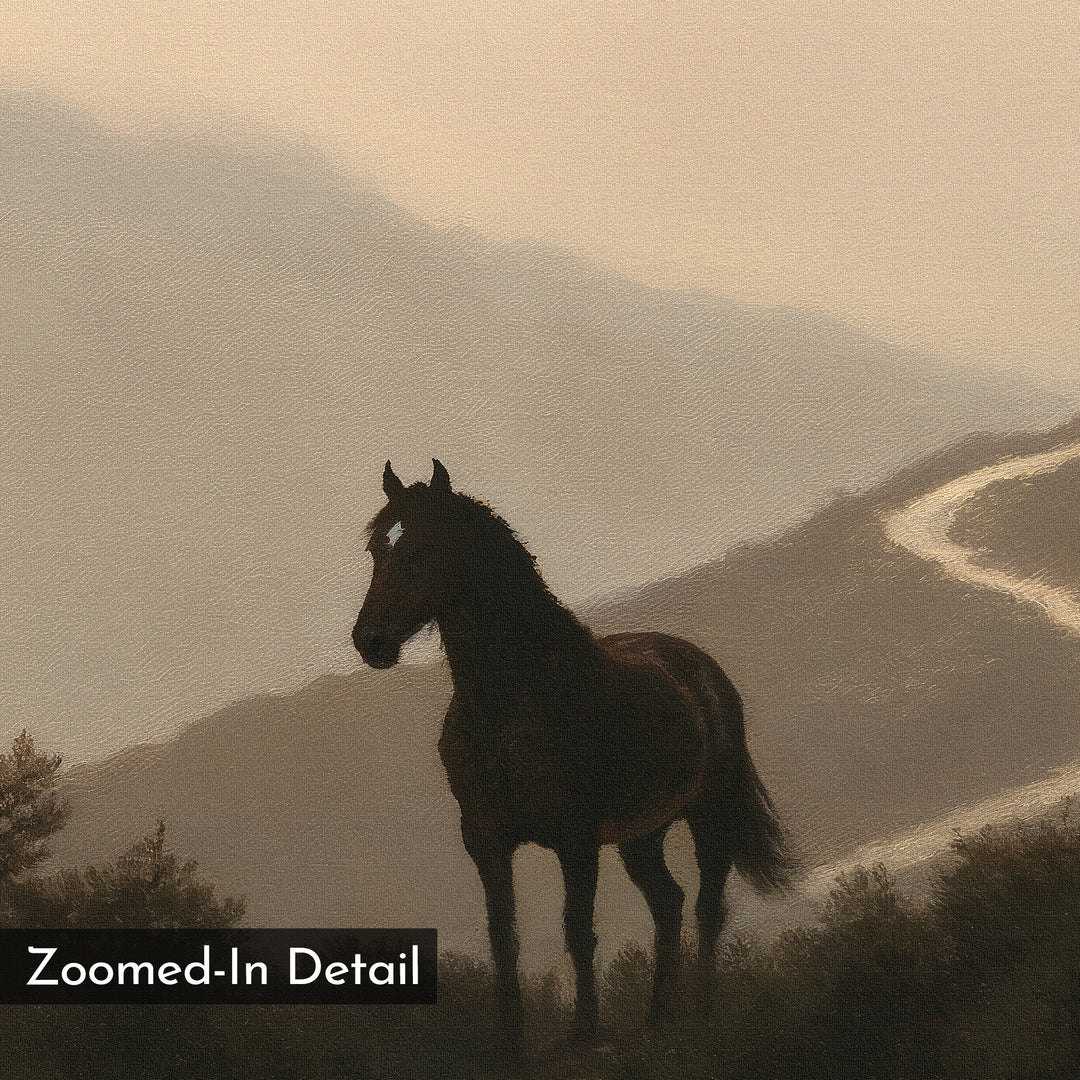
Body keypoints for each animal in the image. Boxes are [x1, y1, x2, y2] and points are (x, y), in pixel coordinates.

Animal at [352, 460, 793, 1054]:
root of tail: (701, 667)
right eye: (377, 548)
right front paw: (510, 1043)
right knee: (668, 904)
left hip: (708, 815)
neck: (514, 700)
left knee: (707, 909)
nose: (369, 641)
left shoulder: (576, 838)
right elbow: (504, 937)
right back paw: (659, 1021)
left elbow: (578, 930)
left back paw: (700, 1017)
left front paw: (586, 1035)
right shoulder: (486, 841)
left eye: (421, 549)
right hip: (641, 836)